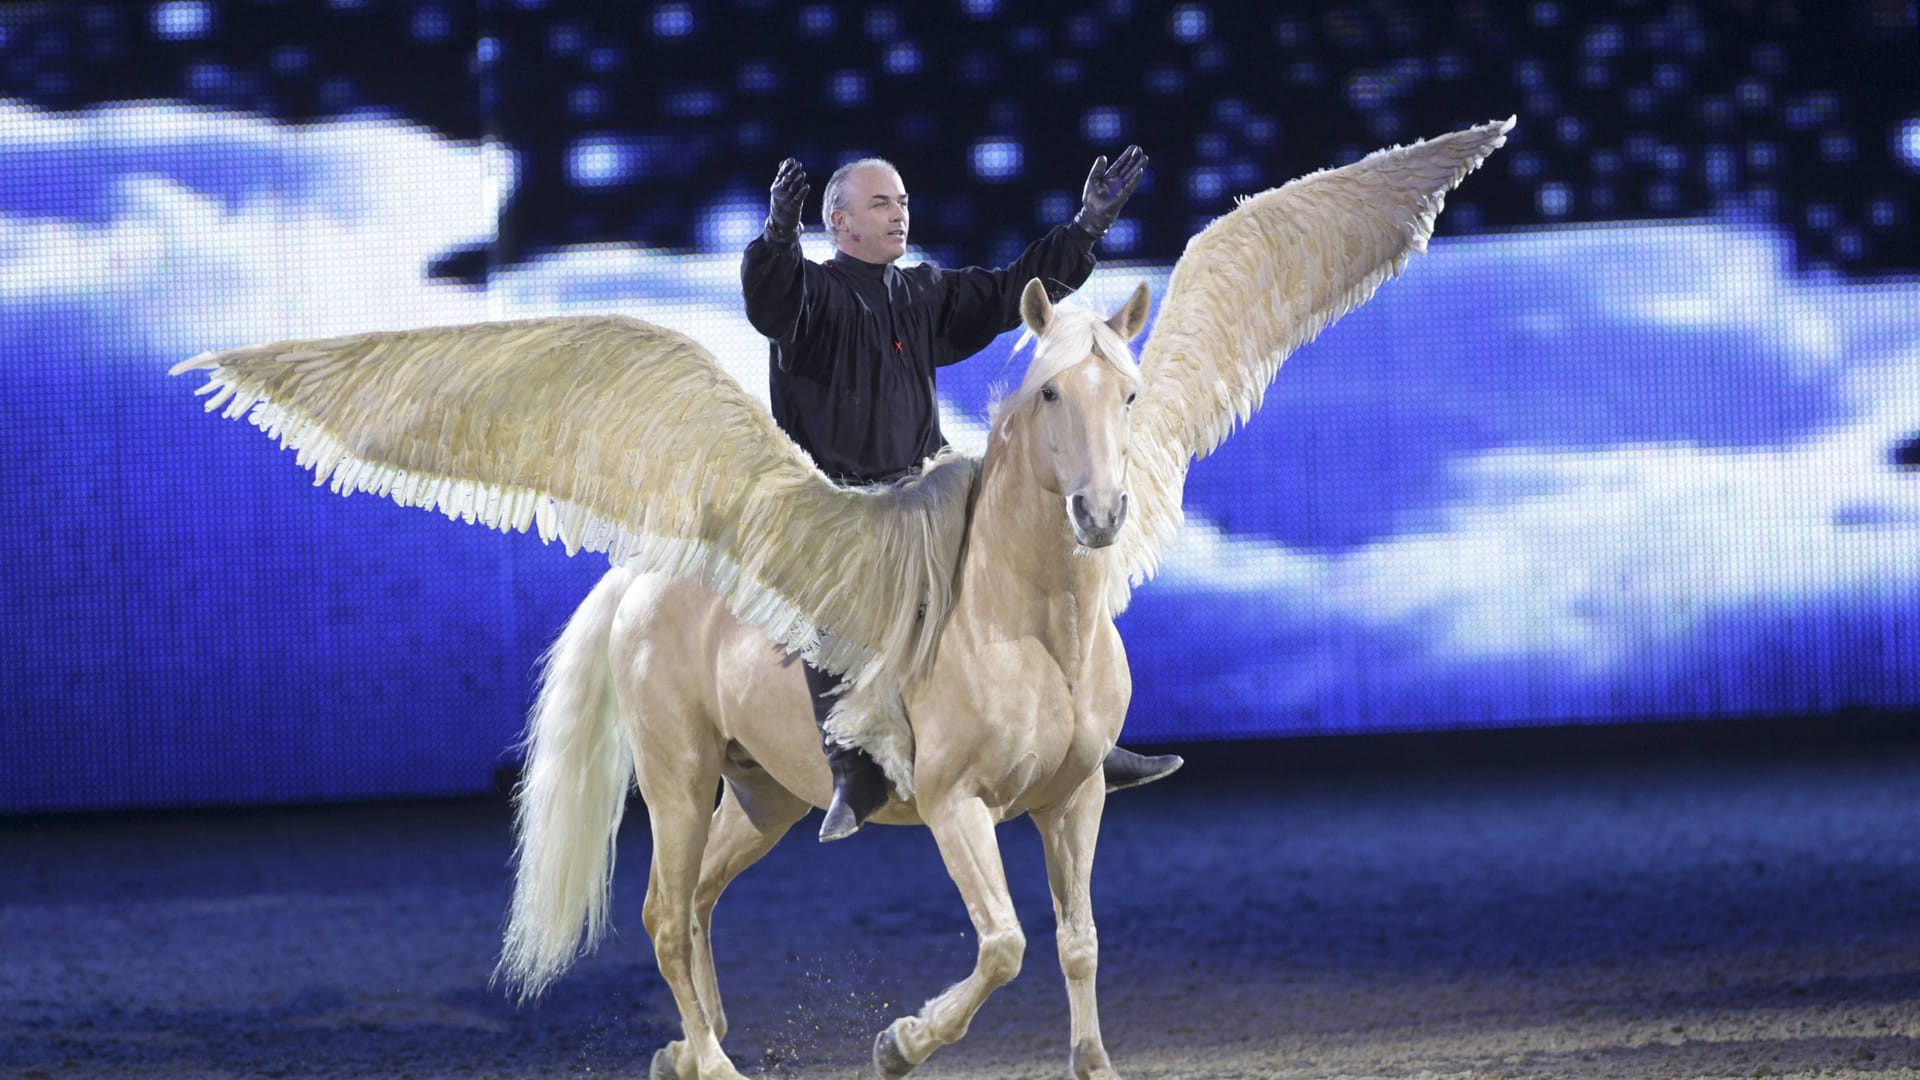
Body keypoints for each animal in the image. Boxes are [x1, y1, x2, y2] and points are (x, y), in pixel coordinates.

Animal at [503, 278, 1144, 1076]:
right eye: (1051, 392)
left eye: (1128, 394)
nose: (1100, 514)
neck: (1031, 631)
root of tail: (646, 579)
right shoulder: (955, 806)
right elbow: (1003, 945)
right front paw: (899, 1043)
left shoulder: (1074, 799)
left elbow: (1077, 941)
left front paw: (1093, 1062)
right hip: (678, 780)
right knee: (665, 915)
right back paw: (711, 1061)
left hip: (764, 796)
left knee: (700, 897)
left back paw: (691, 1044)